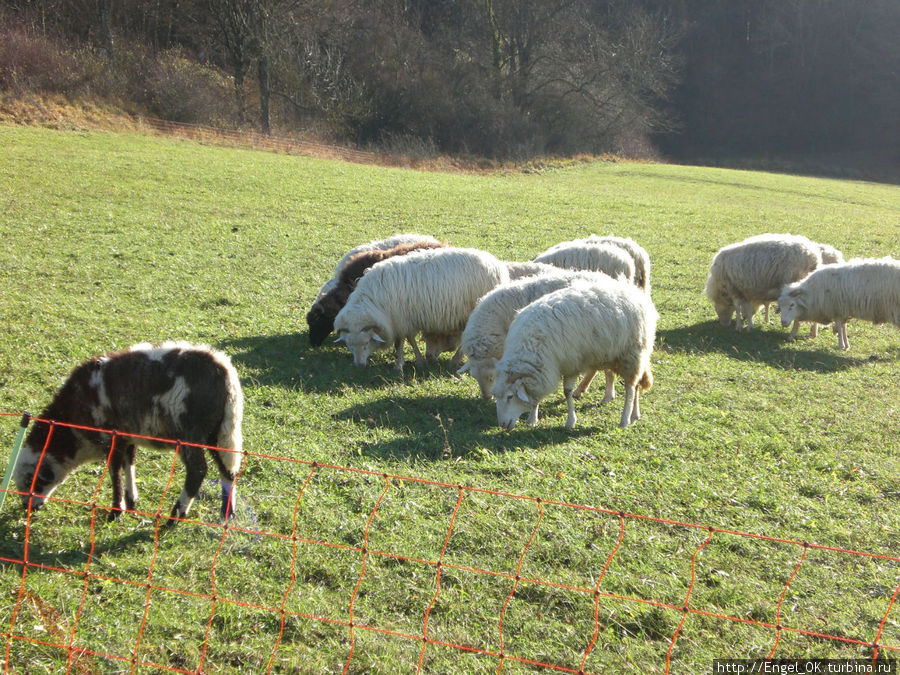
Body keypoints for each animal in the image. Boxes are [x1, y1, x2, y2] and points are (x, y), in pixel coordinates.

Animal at [334, 247, 510, 372]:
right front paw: (418, 360)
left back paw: (455, 360)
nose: (359, 366)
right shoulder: (407, 319)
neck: (374, 302)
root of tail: (498, 266)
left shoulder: (400, 319)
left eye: (365, 343)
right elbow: (411, 339)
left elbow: (400, 343)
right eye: (349, 345)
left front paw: (399, 365)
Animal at [458, 270, 620, 406]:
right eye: (474, 376)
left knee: (608, 370)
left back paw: (607, 396)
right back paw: (581, 389)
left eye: (491, 377)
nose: (486, 398)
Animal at [492, 278, 652, 430]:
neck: (529, 343)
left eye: (510, 396)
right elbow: (536, 395)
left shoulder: (571, 363)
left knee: (630, 388)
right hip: (623, 356)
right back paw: (634, 415)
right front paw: (532, 419)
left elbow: (567, 391)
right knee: (636, 385)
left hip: (631, 353)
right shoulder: (545, 367)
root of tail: (634, 291)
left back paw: (624, 420)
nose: (503, 425)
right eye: (497, 396)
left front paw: (570, 421)